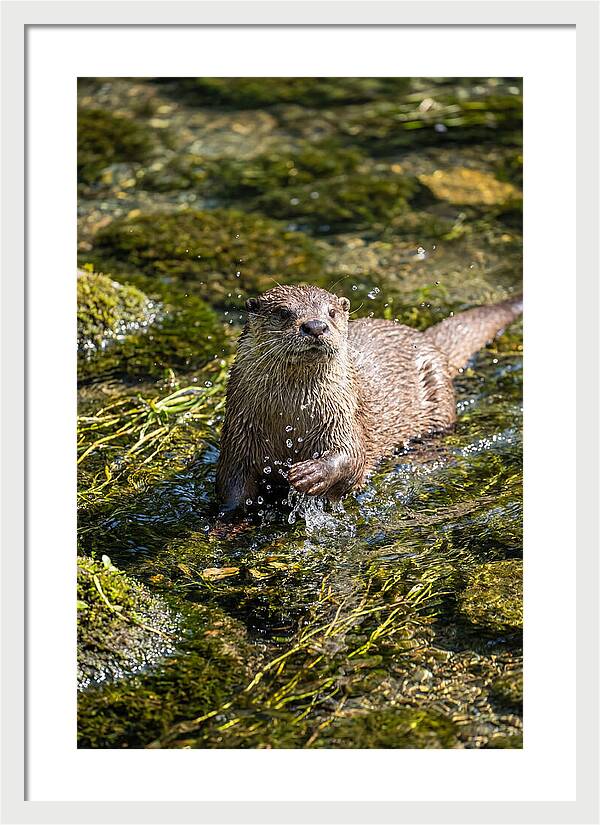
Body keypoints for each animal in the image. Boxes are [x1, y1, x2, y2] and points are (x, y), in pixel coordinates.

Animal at [216, 285, 522, 514]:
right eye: (283, 312)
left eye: (331, 312)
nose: (315, 326)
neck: (291, 419)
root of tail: (427, 340)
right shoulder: (238, 435)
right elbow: (231, 486)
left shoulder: (344, 417)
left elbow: (352, 457)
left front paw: (310, 474)